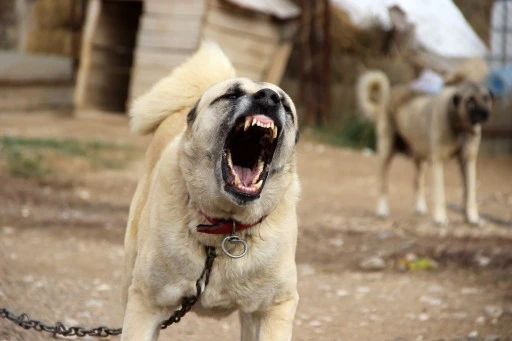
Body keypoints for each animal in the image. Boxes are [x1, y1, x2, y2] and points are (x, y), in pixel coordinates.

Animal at [121, 42, 300, 340]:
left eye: (285, 105)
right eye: (231, 94)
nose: (268, 97)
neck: (225, 230)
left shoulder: (273, 309)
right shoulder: (146, 305)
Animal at [356, 71, 492, 226]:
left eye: (486, 98)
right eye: (470, 100)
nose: (486, 113)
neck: (459, 126)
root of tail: (391, 93)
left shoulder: (468, 162)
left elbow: (470, 193)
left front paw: (472, 218)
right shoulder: (438, 162)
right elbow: (440, 192)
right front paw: (440, 218)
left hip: (421, 158)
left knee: (417, 182)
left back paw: (419, 207)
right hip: (387, 153)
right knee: (383, 184)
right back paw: (382, 210)